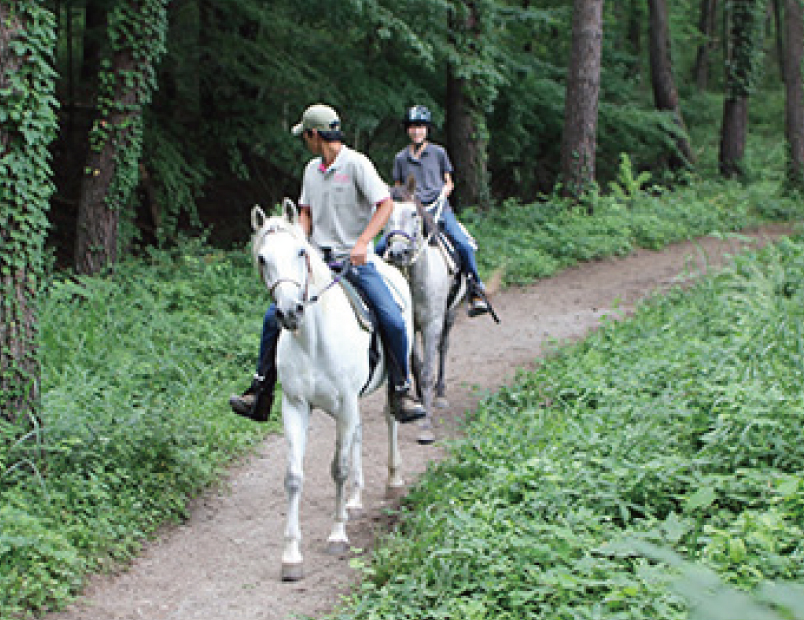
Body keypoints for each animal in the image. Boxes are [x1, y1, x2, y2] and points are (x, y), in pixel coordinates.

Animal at [251, 199, 412, 580]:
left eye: (299, 252)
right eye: (263, 258)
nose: (289, 312)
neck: (313, 339)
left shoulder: (346, 402)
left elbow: (338, 468)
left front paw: (337, 535)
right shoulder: (296, 406)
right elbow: (294, 476)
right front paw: (291, 556)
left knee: (390, 418)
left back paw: (393, 479)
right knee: (357, 436)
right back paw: (354, 500)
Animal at [382, 179, 464, 446]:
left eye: (413, 214)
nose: (398, 253)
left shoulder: (431, 325)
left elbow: (427, 371)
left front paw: (426, 426)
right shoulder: (408, 326)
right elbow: (416, 366)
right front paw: (415, 402)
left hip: (450, 315)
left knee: (444, 348)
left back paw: (440, 394)